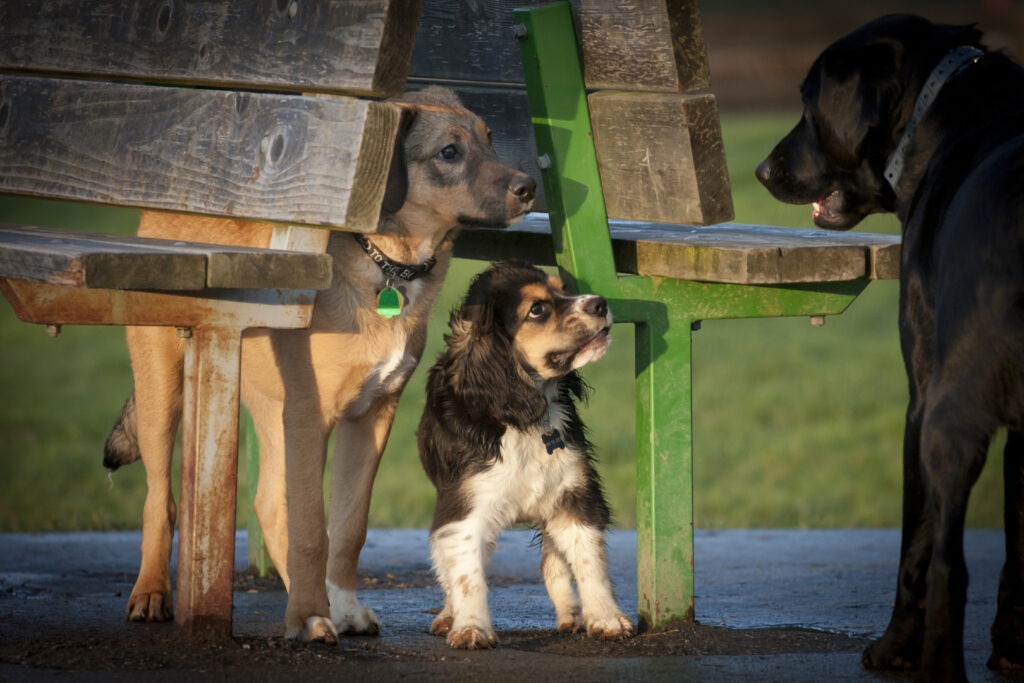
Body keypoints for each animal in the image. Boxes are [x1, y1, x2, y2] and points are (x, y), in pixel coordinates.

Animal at [102, 85, 536, 643]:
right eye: (448, 152)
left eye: (489, 137)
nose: (527, 187)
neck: (385, 264)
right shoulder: (310, 417)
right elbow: (312, 527)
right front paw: (310, 614)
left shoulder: (371, 415)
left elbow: (348, 528)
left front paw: (339, 606)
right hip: (165, 385)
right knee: (162, 499)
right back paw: (153, 592)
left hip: (269, 406)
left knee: (268, 505)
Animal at [415, 262, 630, 651]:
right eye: (537, 309)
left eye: (564, 289)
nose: (600, 303)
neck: (525, 418)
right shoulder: (464, 505)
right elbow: (467, 573)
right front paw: (471, 628)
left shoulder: (575, 496)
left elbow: (589, 562)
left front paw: (606, 619)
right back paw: (448, 615)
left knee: (554, 563)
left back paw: (570, 615)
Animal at [757, 13, 1024, 679]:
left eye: (808, 103)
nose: (761, 172)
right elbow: (1018, 538)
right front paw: (1011, 648)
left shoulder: (920, 402)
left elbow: (916, 551)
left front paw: (893, 648)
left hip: (949, 417)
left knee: (950, 566)